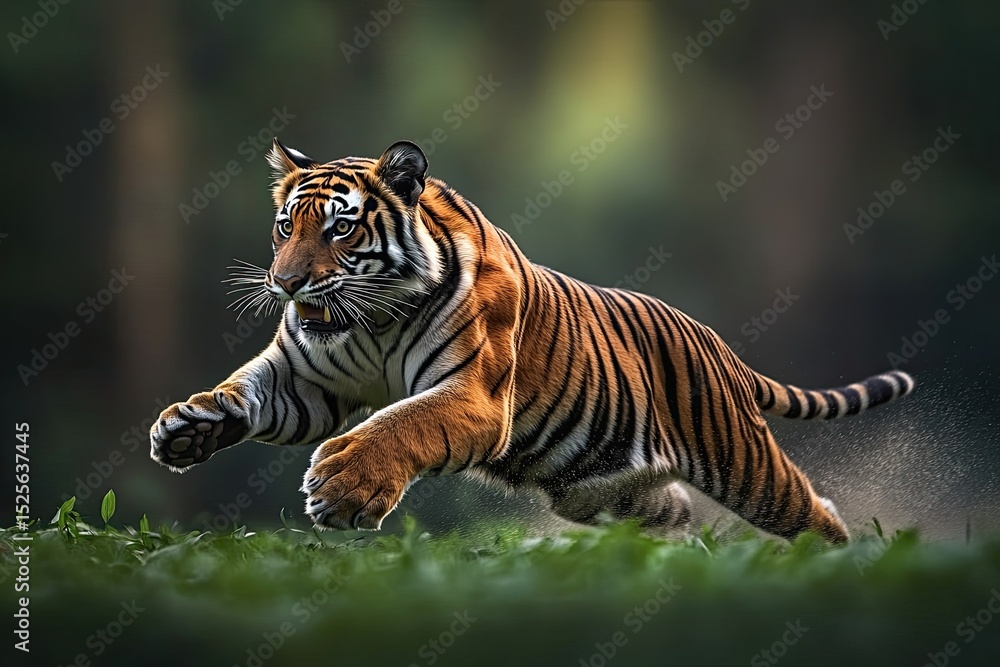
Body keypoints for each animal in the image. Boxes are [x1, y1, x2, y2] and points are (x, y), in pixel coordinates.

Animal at [150, 139, 914, 543]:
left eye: (340, 228)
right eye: (286, 226)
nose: (286, 283)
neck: (373, 319)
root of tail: (719, 346)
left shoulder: (475, 397)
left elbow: (400, 422)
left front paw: (342, 487)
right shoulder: (306, 382)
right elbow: (244, 389)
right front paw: (185, 427)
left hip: (744, 462)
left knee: (814, 511)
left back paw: (841, 562)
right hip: (607, 490)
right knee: (673, 515)